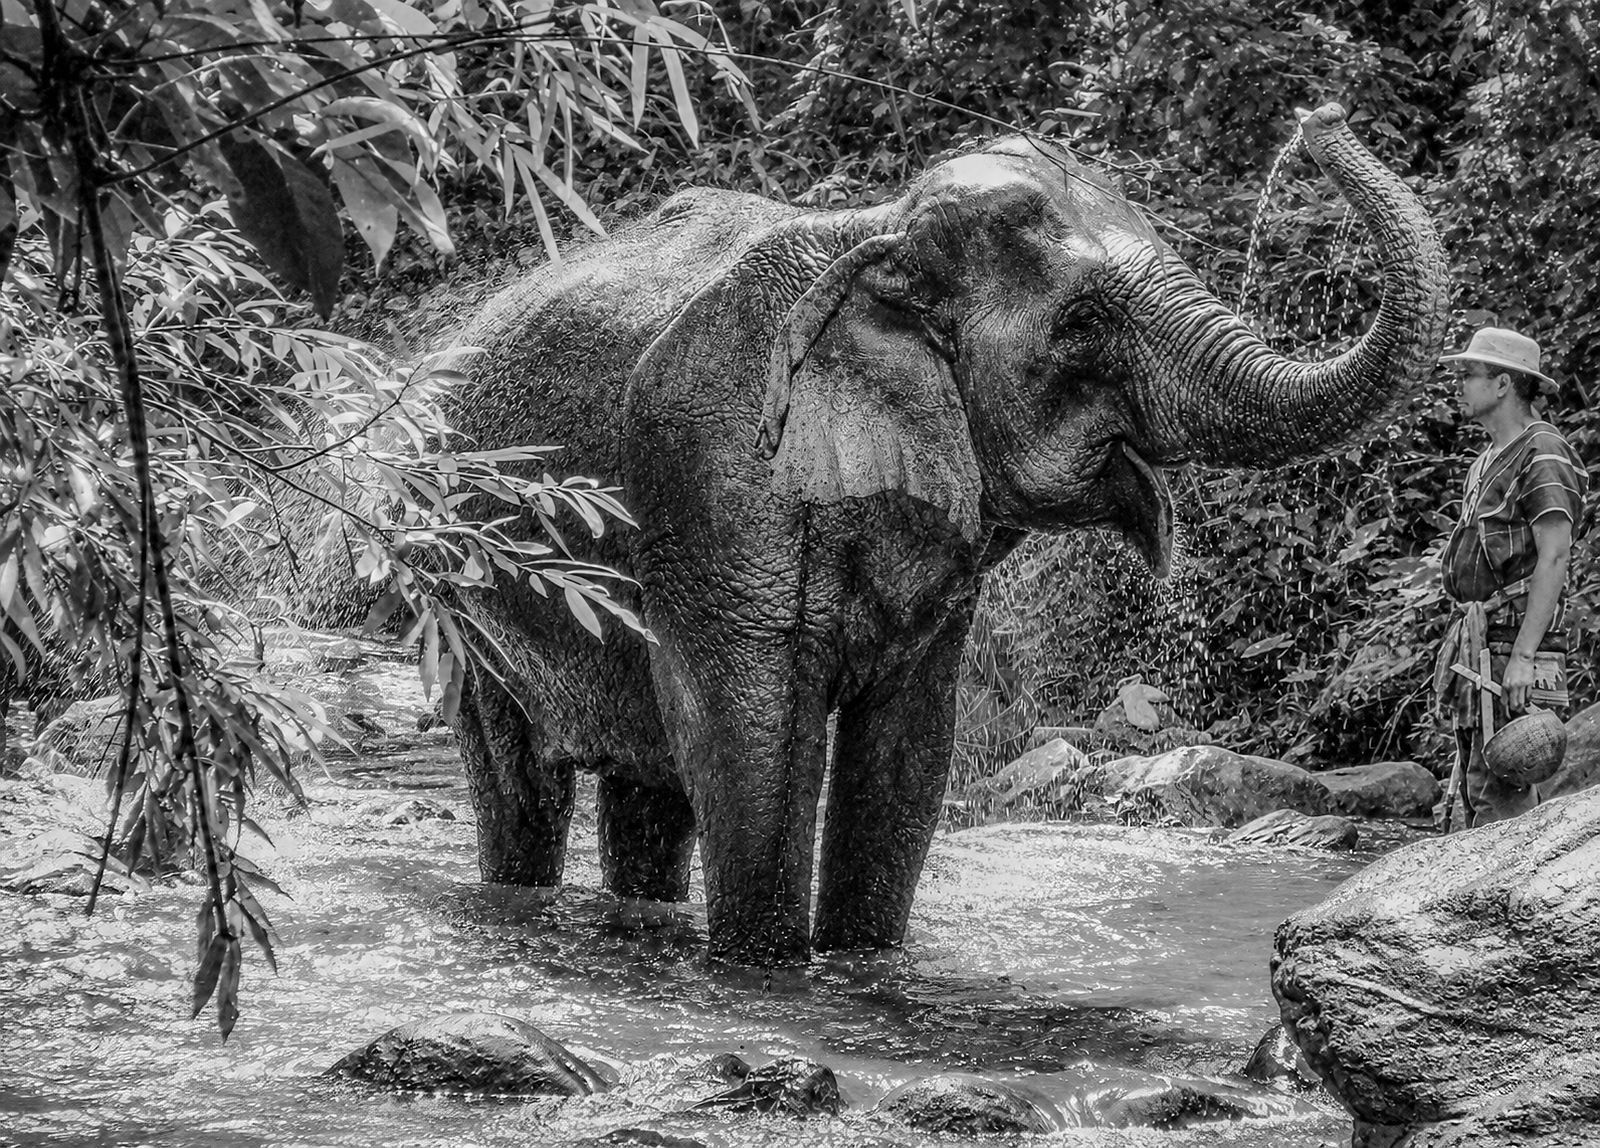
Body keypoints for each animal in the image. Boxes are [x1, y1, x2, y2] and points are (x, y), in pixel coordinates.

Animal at [440, 103, 1447, 966]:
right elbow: (754, 745)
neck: (875, 231)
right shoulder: (711, 466)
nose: (1319, 119)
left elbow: (910, 754)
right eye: (1082, 324)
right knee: (517, 775)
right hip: (461, 576)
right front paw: (765, 973)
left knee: (646, 794)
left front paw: (865, 962)